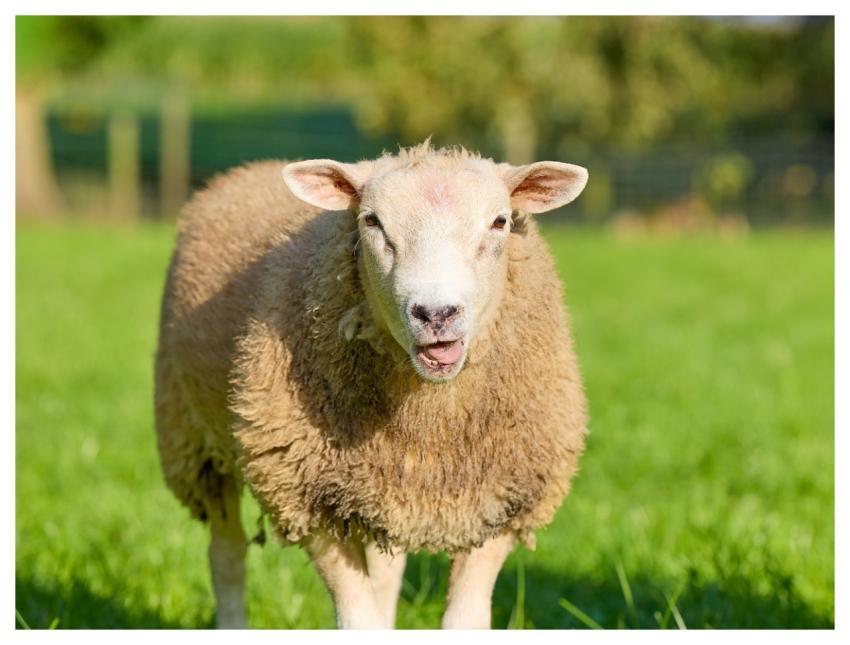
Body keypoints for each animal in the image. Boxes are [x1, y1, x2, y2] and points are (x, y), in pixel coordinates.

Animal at [154, 141, 589, 629]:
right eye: (372, 221)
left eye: (500, 222)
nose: (436, 313)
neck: (429, 422)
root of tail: (249, 168)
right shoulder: (307, 493)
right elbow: (358, 618)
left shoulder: (506, 498)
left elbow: (463, 618)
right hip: (196, 442)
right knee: (226, 556)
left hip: (382, 488)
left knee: (386, 571)